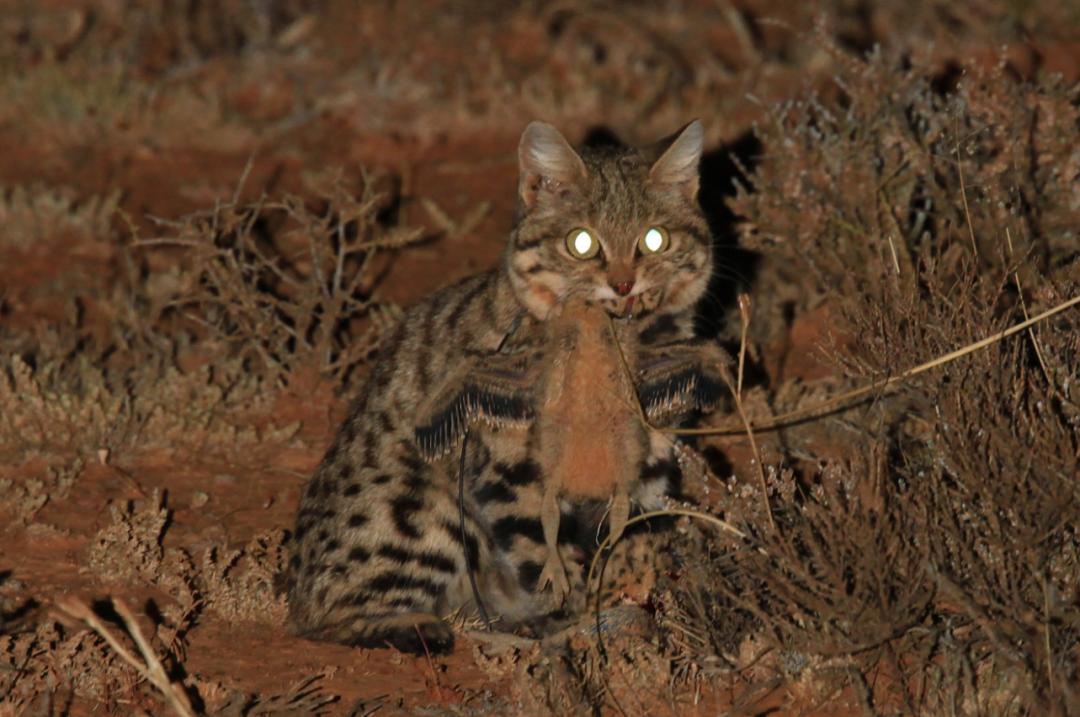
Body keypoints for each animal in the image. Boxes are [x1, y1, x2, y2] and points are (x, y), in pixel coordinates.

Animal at [282, 118, 730, 656]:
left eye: (656, 239)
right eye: (581, 242)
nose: (623, 285)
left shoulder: (649, 459)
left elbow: (627, 536)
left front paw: (624, 599)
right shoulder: (507, 468)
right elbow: (544, 552)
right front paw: (578, 619)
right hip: (423, 509)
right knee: (323, 617)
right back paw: (428, 627)